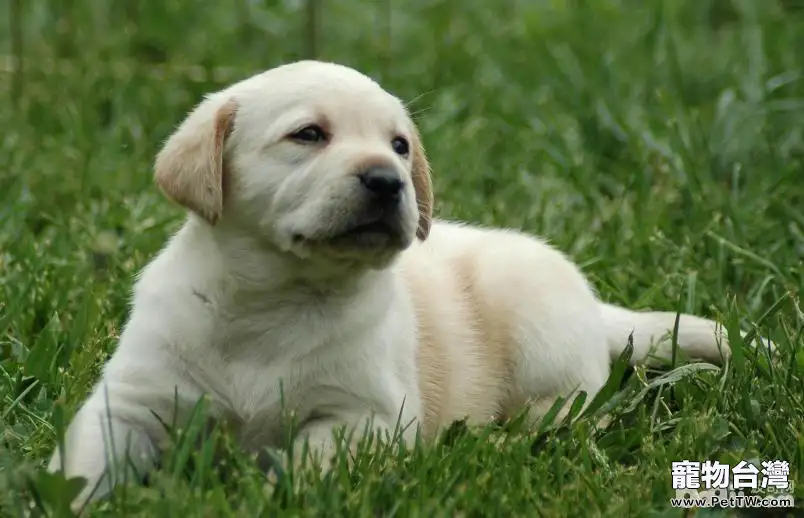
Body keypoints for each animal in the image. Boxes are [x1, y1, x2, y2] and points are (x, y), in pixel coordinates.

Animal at [50, 59, 752, 510]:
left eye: (399, 146)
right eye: (309, 134)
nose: (388, 181)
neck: (272, 300)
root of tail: (597, 308)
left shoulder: (367, 417)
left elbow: (302, 464)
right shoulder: (133, 399)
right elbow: (87, 461)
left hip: (536, 322)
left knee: (577, 404)